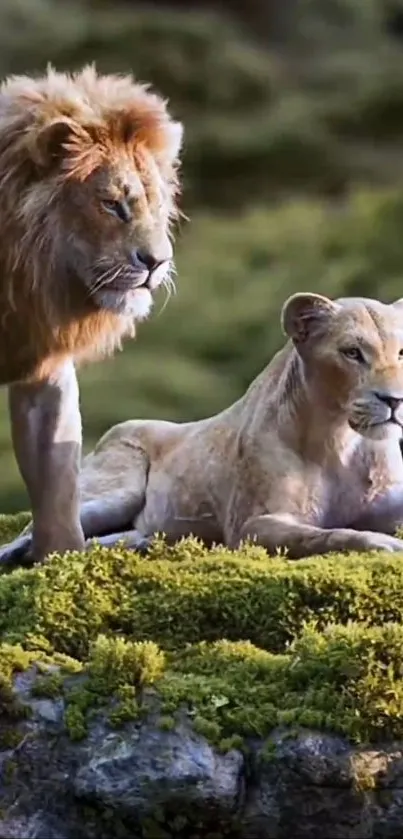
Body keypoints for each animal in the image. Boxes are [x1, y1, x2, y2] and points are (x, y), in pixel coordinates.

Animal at [0, 65, 183, 560]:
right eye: (112, 204)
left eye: (156, 202)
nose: (157, 262)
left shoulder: (44, 365)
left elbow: (57, 476)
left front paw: (59, 558)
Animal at [5, 292, 403, 568]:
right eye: (352, 353)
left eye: (401, 352)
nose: (395, 400)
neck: (341, 440)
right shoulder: (250, 526)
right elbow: (328, 535)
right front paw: (384, 544)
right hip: (113, 490)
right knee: (37, 534)